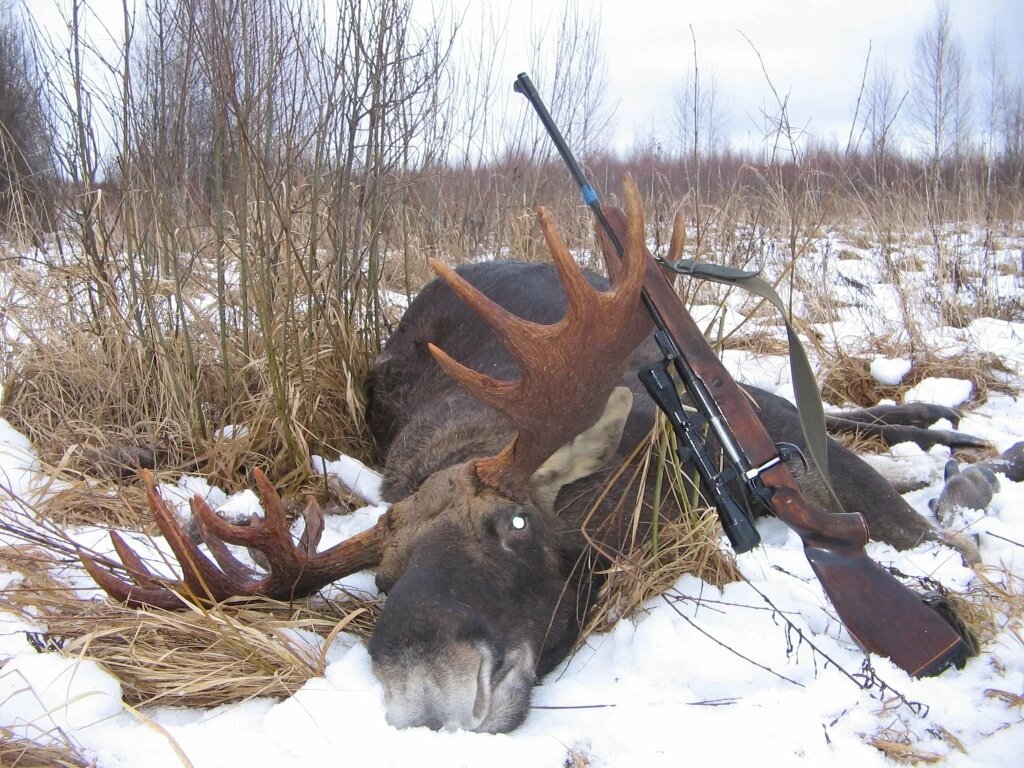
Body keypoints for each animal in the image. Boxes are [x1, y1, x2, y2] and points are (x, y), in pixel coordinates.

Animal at [86, 179, 983, 733]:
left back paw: (949, 423)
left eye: (513, 525)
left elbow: (888, 519)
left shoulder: (775, 434)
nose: (432, 702)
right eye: (383, 580)